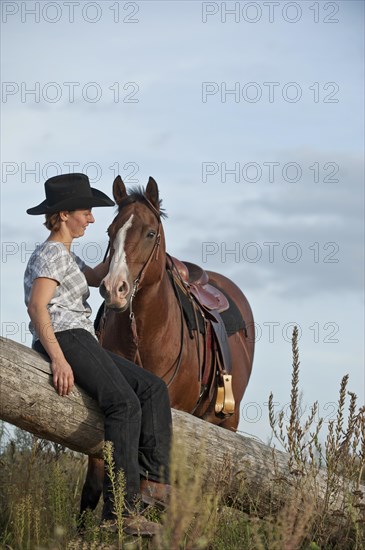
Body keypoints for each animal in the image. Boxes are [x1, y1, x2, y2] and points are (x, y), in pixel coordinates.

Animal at [79, 177, 255, 516]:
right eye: (110, 231)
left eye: (150, 233)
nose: (115, 289)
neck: (145, 333)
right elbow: (94, 487)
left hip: (225, 423)